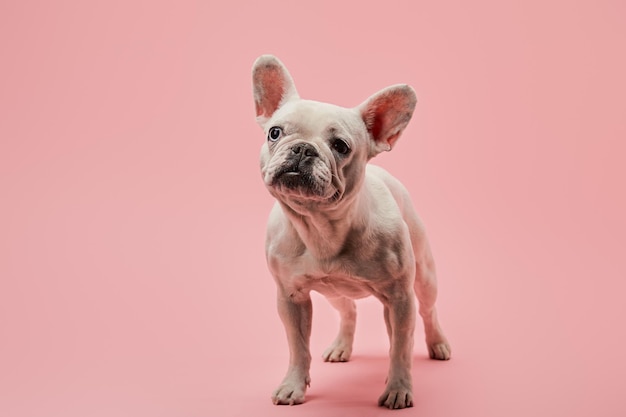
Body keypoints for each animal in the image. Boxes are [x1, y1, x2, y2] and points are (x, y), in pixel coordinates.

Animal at [249, 53, 448, 408]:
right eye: (274, 132)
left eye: (340, 146)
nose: (303, 148)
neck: (321, 226)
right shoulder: (290, 297)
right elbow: (298, 347)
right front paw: (293, 385)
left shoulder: (400, 299)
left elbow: (401, 348)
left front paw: (398, 388)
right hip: (333, 293)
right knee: (349, 310)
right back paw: (341, 345)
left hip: (424, 279)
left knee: (427, 312)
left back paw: (437, 343)